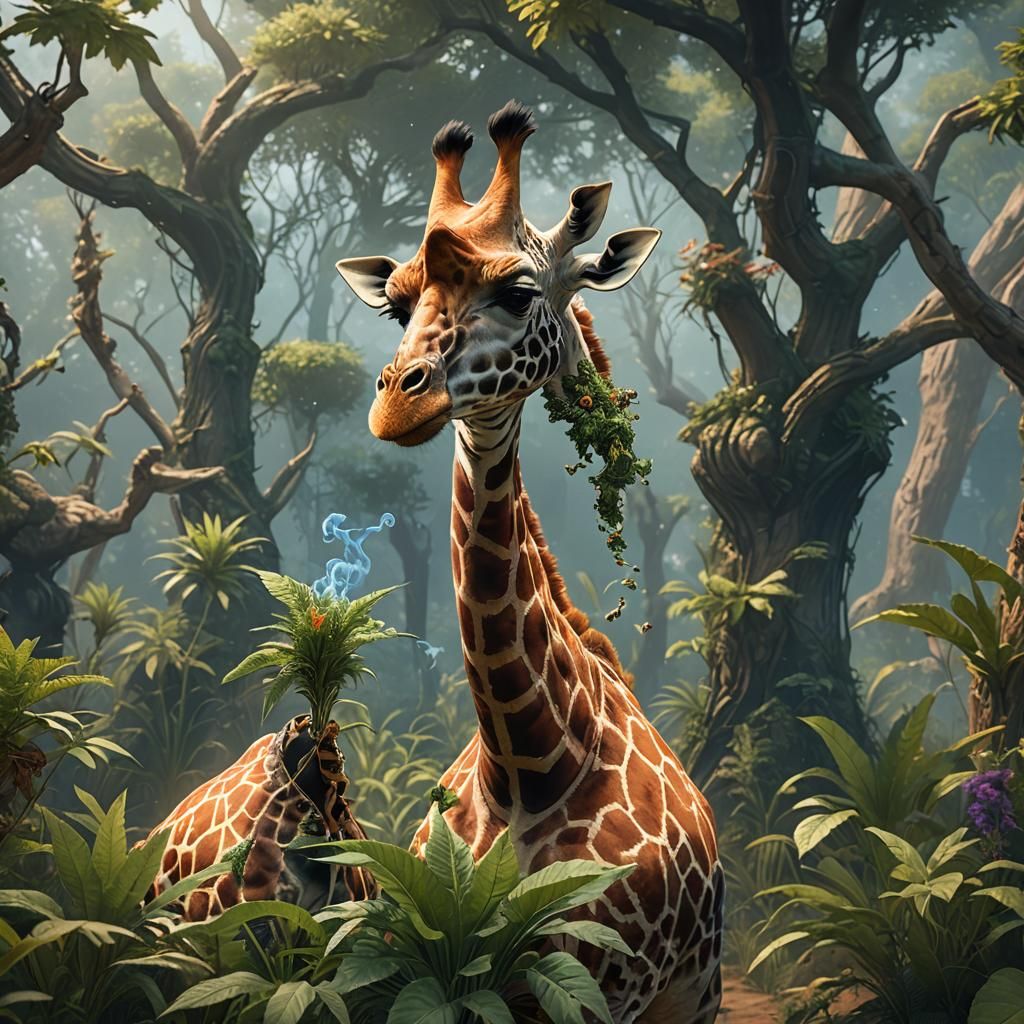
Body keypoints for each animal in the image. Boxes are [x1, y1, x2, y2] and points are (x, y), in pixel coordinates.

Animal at [336, 101, 723, 1024]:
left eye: (517, 291)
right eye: (395, 306)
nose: (397, 407)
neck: (528, 763)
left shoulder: (600, 987)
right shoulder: (447, 967)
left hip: (696, 991)